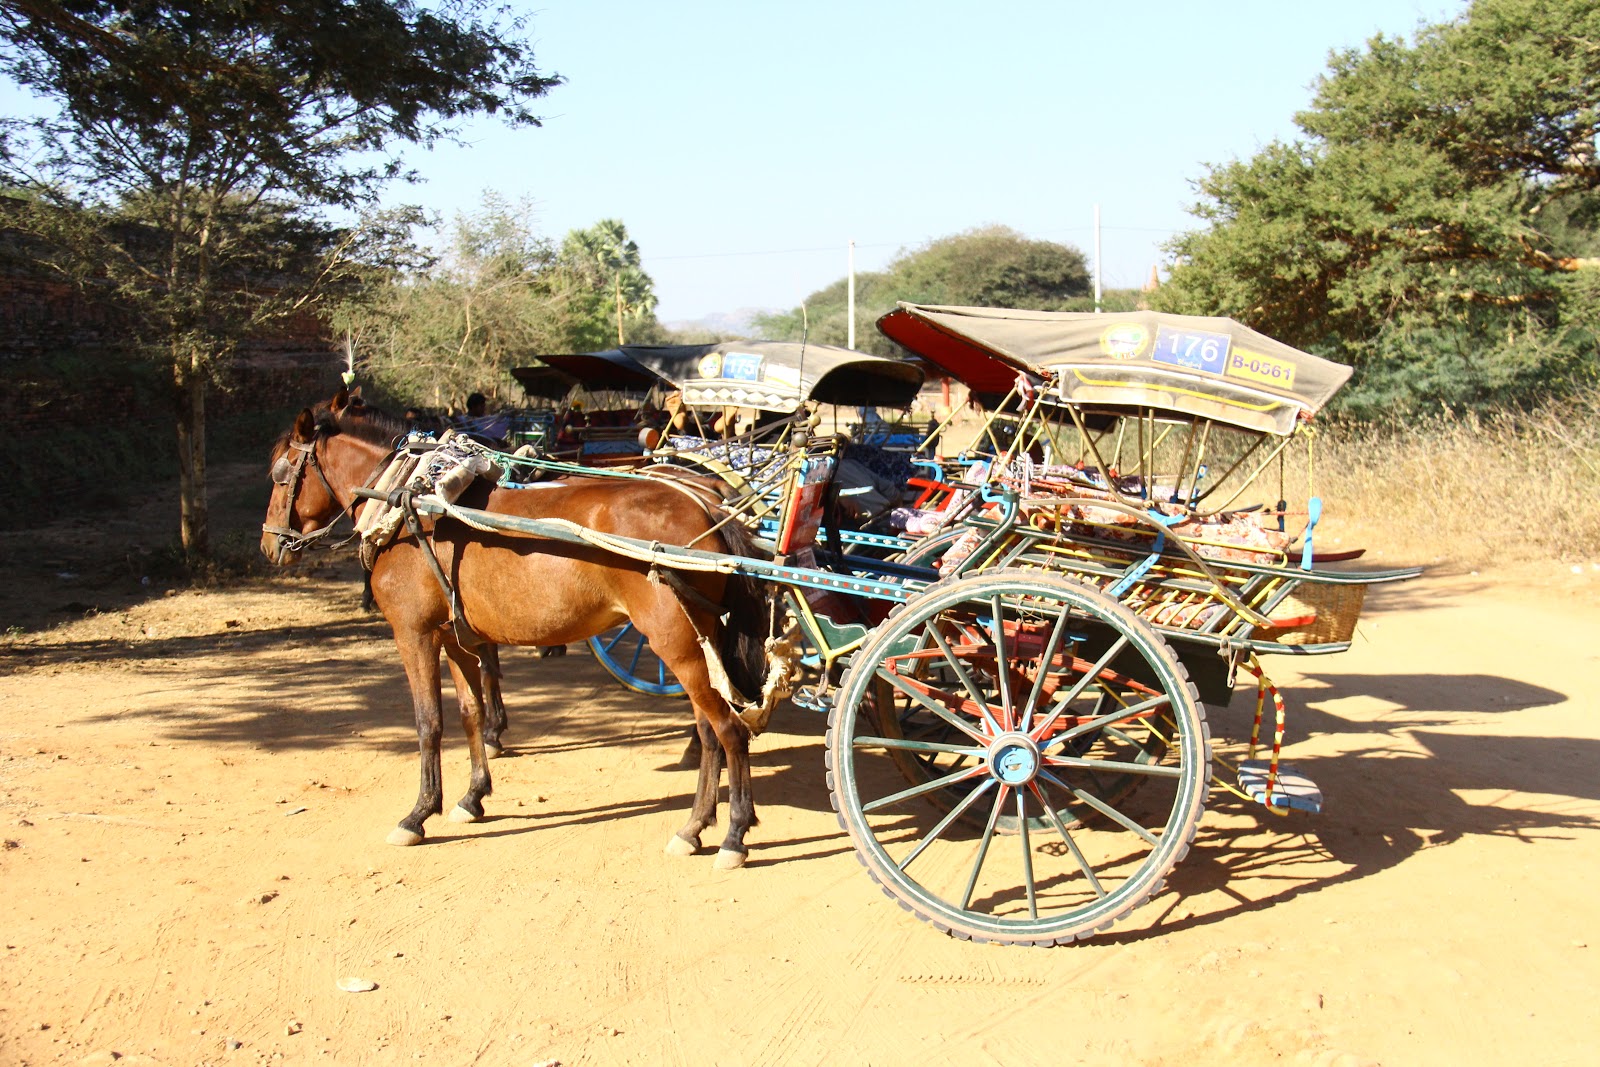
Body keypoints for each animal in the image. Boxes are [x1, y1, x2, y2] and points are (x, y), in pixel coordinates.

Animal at [260, 388, 773, 868]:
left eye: (280, 474)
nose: (270, 546)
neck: (408, 502)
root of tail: (707, 509)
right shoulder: (455, 636)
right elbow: (470, 713)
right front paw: (472, 796)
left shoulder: (414, 634)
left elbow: (428, 723)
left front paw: (419, 813)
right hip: (695, 642)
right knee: (708, 731)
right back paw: (694, 827)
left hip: (677, 643)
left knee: (729, 729)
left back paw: (733, 833)